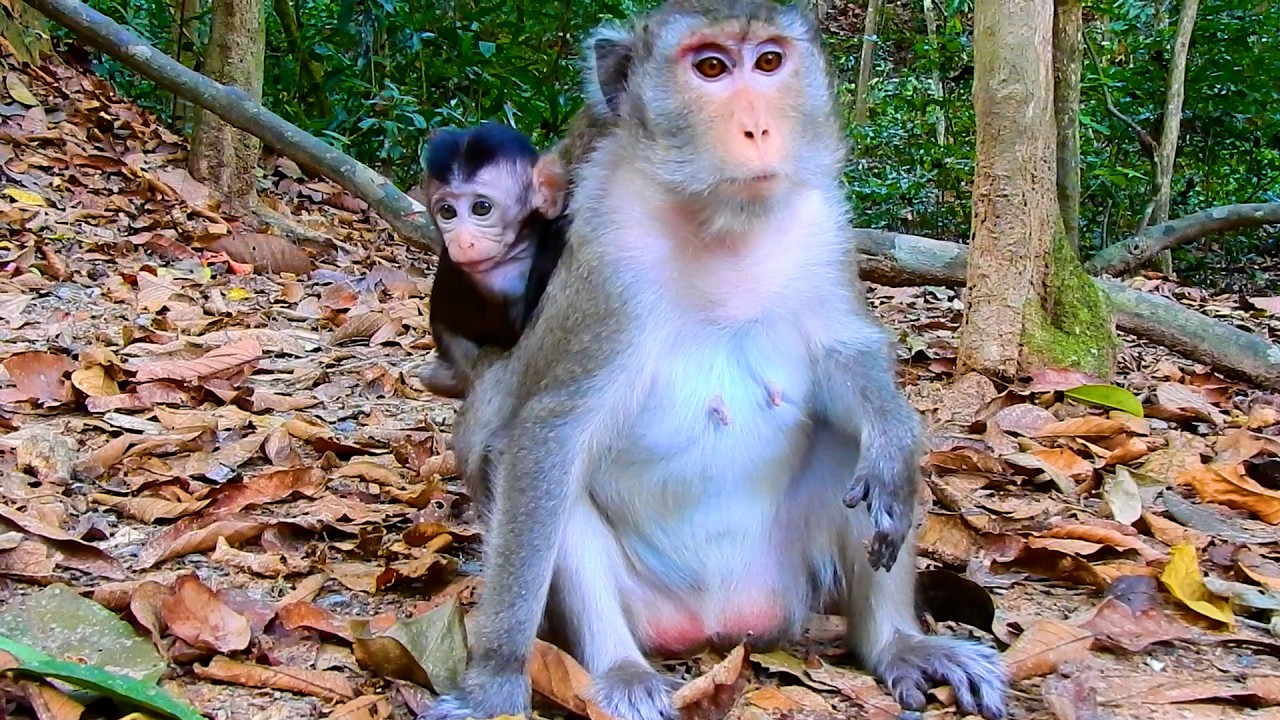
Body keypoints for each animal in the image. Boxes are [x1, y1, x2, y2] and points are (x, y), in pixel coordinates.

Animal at [413, 122, 571, 399]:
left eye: (481, 208)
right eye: (447, 211)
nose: (462, 242)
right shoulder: (496, 280)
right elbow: (517, 334)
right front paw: (557, 233)